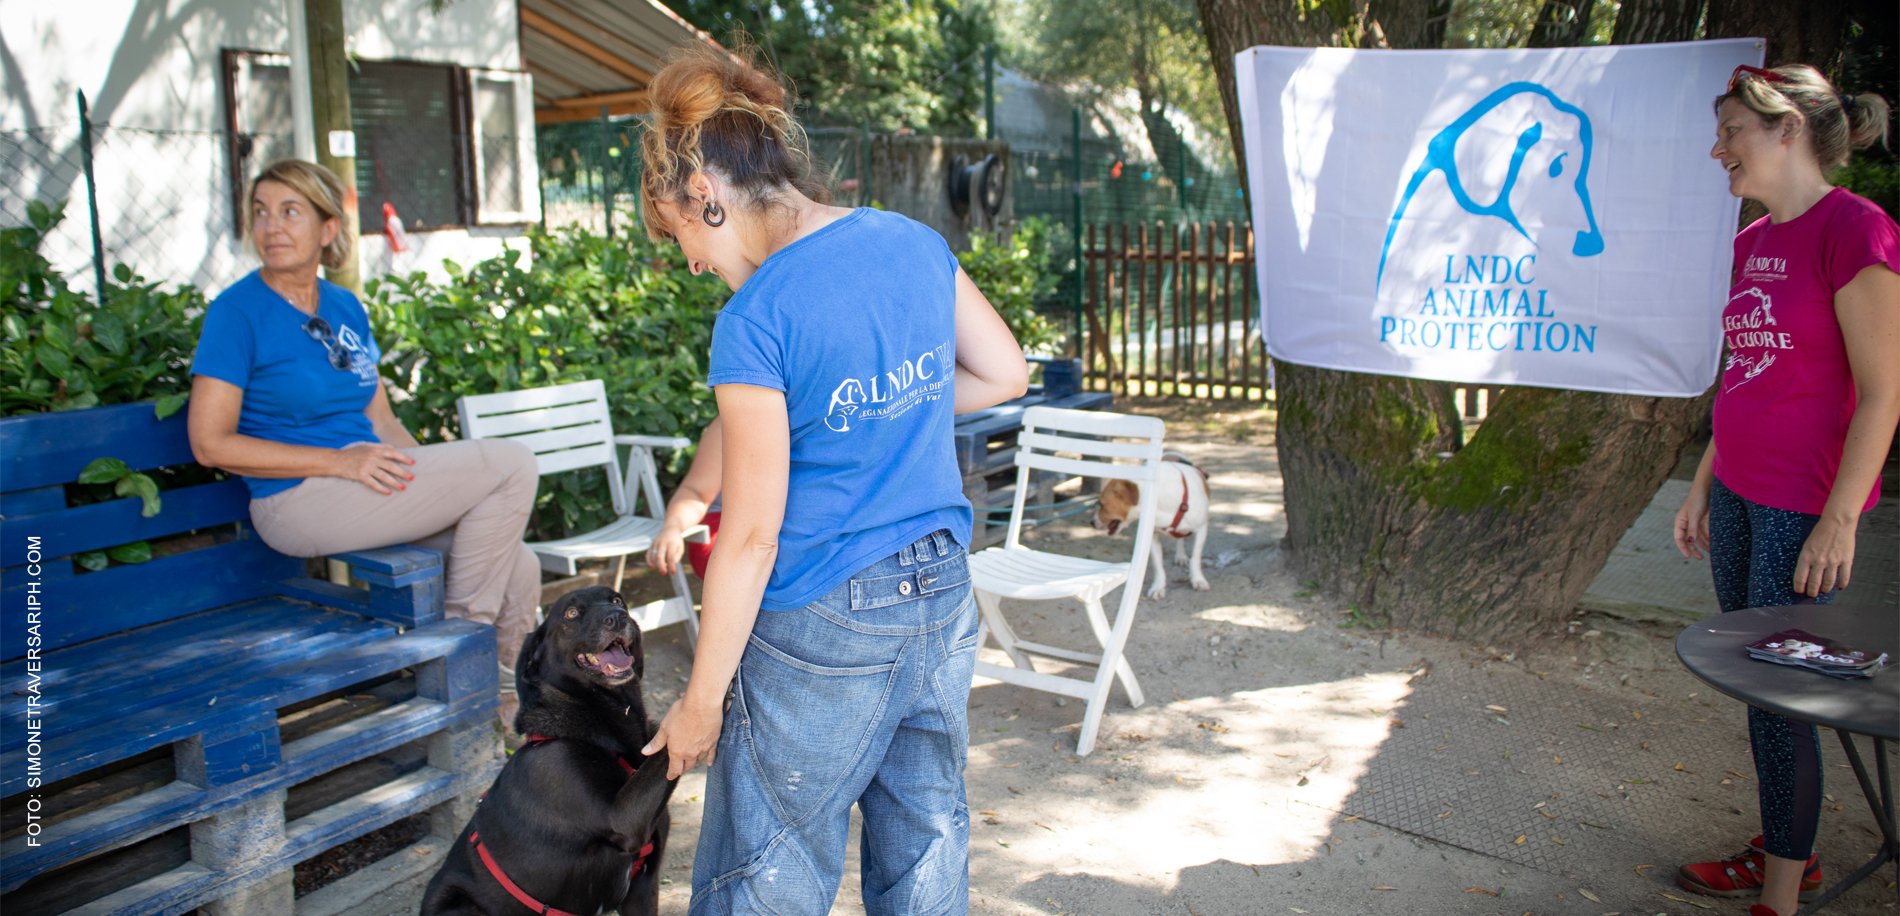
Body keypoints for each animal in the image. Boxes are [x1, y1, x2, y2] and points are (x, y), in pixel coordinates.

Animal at [421, 585, 676, 916]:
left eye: (617, 600)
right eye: (571, 613)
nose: (618, 617)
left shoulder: (643, 889)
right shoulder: (620, 817)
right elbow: (668, 745)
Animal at [1094, 452, 1208, 600]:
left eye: (1101, 504)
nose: (1091, 522)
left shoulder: (1202, 529)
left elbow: (1195, 558)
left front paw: (1198, 579)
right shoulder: (1152, 536)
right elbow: (1157, 565)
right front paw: (1158, 587)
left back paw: (1181, 555)